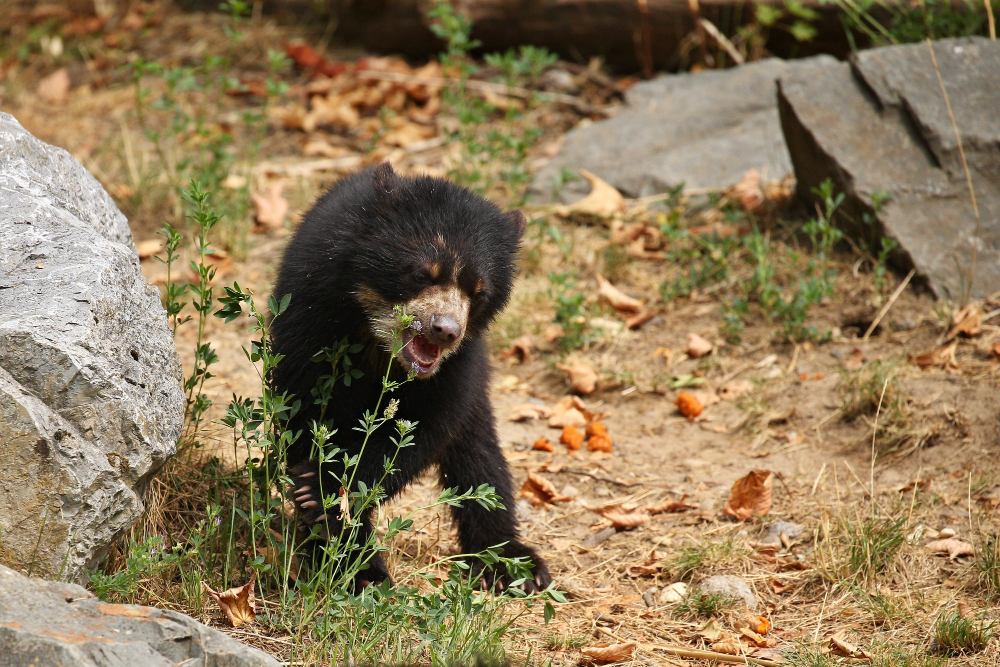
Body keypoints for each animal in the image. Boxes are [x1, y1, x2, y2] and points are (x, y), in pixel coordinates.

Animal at [269, 162, 550, 593]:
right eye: (421, 273)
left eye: (478, 292)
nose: (445, 330)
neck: (377, 341)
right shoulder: (310, 315)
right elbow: (305, 411)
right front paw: (352, 563)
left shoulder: (459, 365)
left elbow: (426, 427)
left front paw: (323, 491)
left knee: (479, 456)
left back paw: (511, 562)